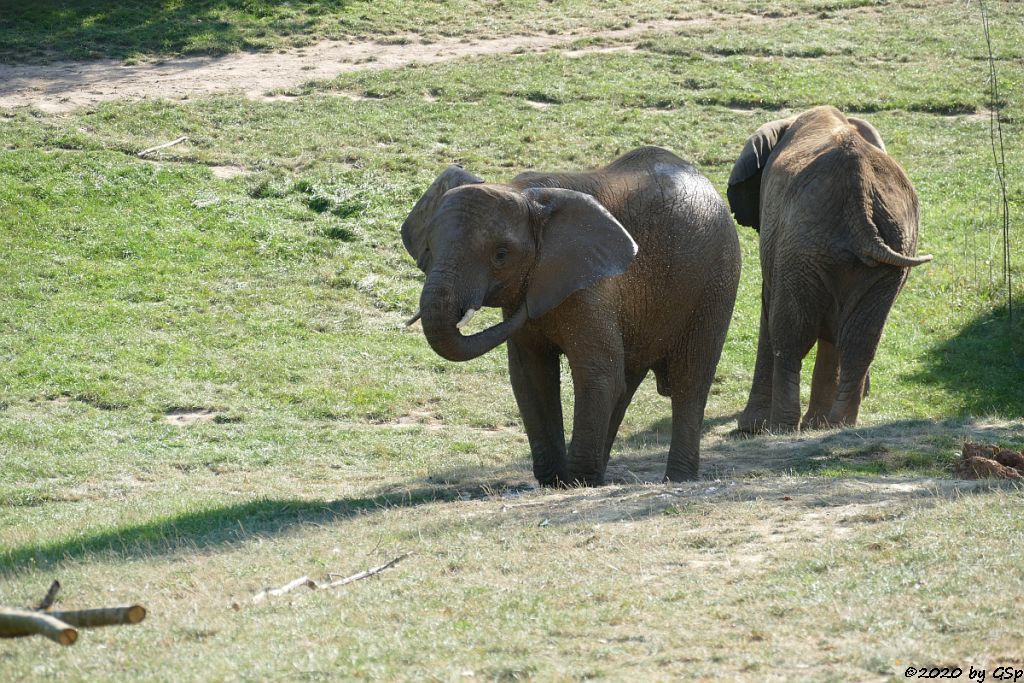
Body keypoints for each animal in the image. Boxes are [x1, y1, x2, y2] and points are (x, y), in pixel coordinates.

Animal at [395, 145, 741, 485]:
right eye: (429, 247)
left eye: (501, 255)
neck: (523, 193)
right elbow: (531, 377)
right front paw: (555, 481)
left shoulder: (591, 284)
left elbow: (597, 374)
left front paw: (578, 482)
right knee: (626, 382)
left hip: (716, 282)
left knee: (690, 380)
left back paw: (675, 478)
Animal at [724, 105, 933, 432]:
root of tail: (859, 191)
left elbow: (769, 307)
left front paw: (750, 427)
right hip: (886, 248)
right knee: (859, 340)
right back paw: (836, 424)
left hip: (801, 246)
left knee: (791, 334)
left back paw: (781, 428)